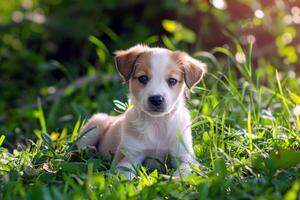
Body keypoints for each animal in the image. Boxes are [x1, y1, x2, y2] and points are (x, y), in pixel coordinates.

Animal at [77, 44, 206, 179]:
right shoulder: (128, 156)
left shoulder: (185, 158)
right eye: (143, 78)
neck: (157, 123)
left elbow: (183, 173)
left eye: (172, 80)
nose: (156, 99)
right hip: (95, 124)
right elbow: (126, 176)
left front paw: (171, 179)